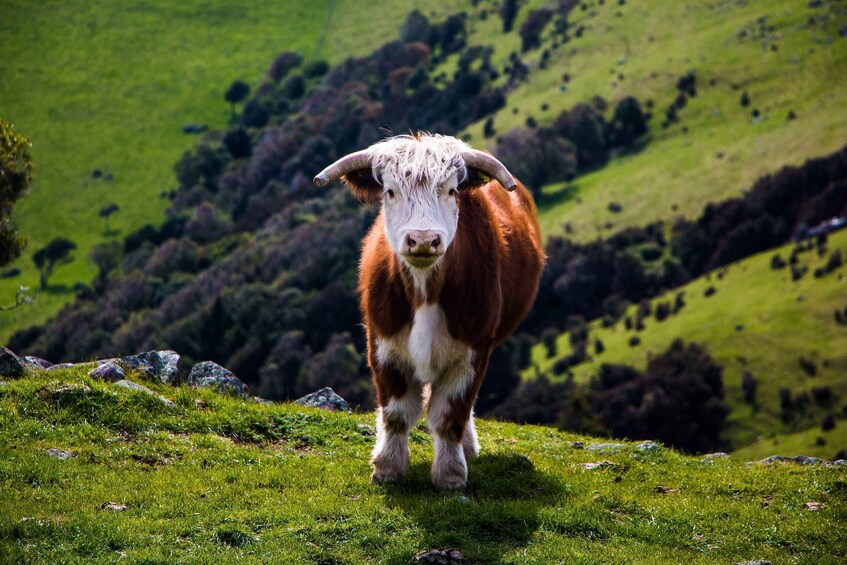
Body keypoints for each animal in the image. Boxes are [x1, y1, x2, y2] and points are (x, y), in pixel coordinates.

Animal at [314, 134, 548, 486]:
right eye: (390, 191)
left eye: (451, 191)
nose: (423, 240)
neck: (424, 290)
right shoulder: (382, 346)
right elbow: (396, 413)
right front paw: (387, 467)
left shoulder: (474, 351)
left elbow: (450, 415)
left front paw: (450, 474)